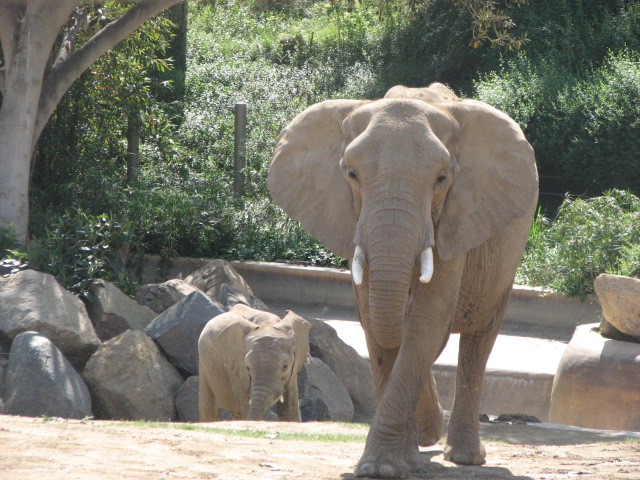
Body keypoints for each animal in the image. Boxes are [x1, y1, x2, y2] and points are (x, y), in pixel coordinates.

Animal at [267, 83, 538, 477]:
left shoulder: (455, 218)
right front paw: (396, 461)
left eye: (441, 179)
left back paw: (464, 456)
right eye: (351, 174)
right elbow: (375, 324)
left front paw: (382, 466)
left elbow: (426, 323)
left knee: (478, 337)